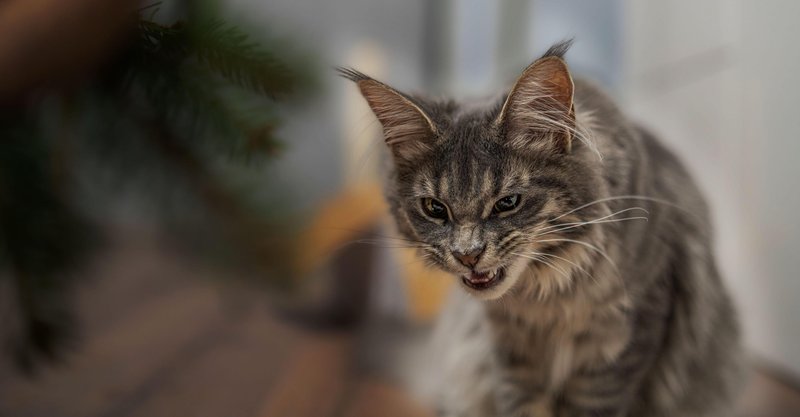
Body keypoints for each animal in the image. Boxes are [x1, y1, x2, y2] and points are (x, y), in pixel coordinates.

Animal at [340, 39, 744, 416]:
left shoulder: (624, 345)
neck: (545, 299)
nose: (467, 255)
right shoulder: (511, 356)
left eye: (507, 203)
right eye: (435, 209)